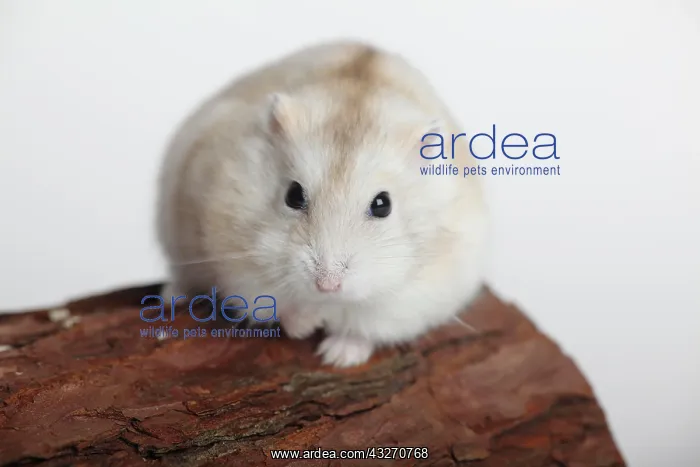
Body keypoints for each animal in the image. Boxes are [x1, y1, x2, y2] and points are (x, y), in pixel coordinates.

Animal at [155, 40, 489, 367]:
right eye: (293, 195)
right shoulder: (238, 262)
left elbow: (364, 324)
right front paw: (306, 325)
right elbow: (278, 303)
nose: (327, 286)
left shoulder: (418, 295)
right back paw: (173, 296)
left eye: (383, 204)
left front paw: (335, 356)